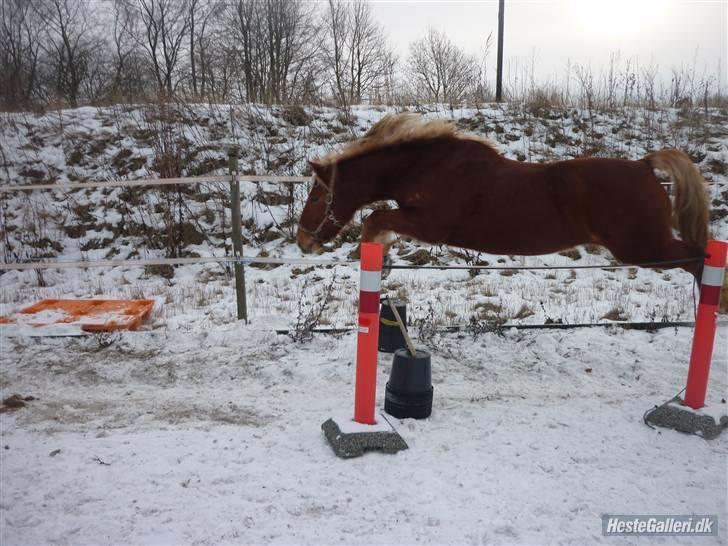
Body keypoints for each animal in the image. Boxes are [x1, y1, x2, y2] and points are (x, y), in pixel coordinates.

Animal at [298, 112, 712, 278]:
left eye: (316, 198)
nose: (303, 241)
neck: (427, 166)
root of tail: (644, 165)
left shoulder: (431, 226)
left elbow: (374, 218)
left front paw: (376, 257)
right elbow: (380, 219)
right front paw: (381, 260)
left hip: (644, 248)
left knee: (698, 257)